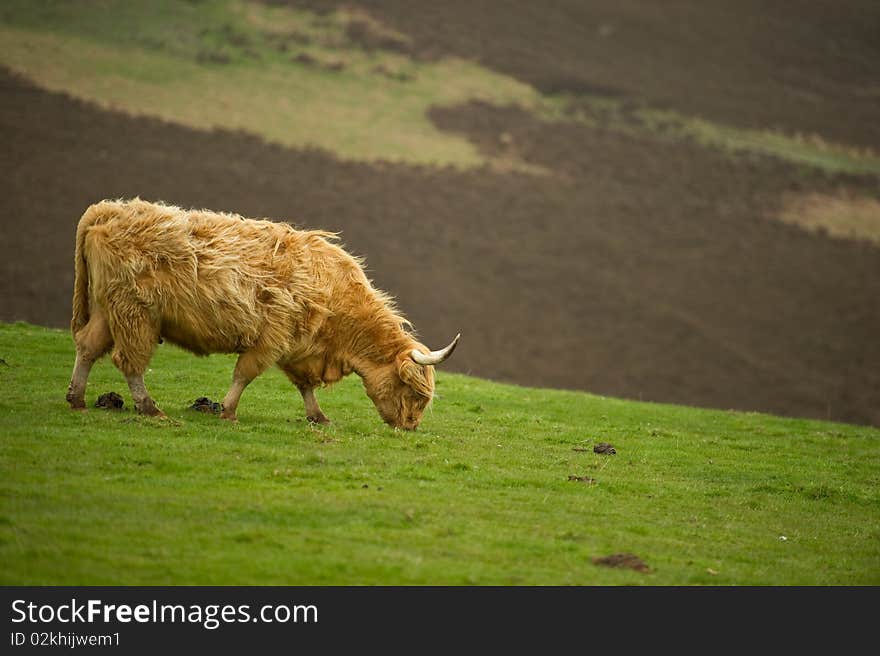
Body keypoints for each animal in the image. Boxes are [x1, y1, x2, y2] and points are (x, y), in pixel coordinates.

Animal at [65, 197, 460, 428]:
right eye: (413, 392)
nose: (410, 426)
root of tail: (107, 209)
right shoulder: (273, 338)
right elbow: (245, 373)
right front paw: (226, 410)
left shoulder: (299, 347)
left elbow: (304, 386)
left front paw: (318, 416)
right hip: (135, 313)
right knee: (129, 361)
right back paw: (148, 408)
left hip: (108, 310)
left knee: (88, 347)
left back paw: (78, 399)